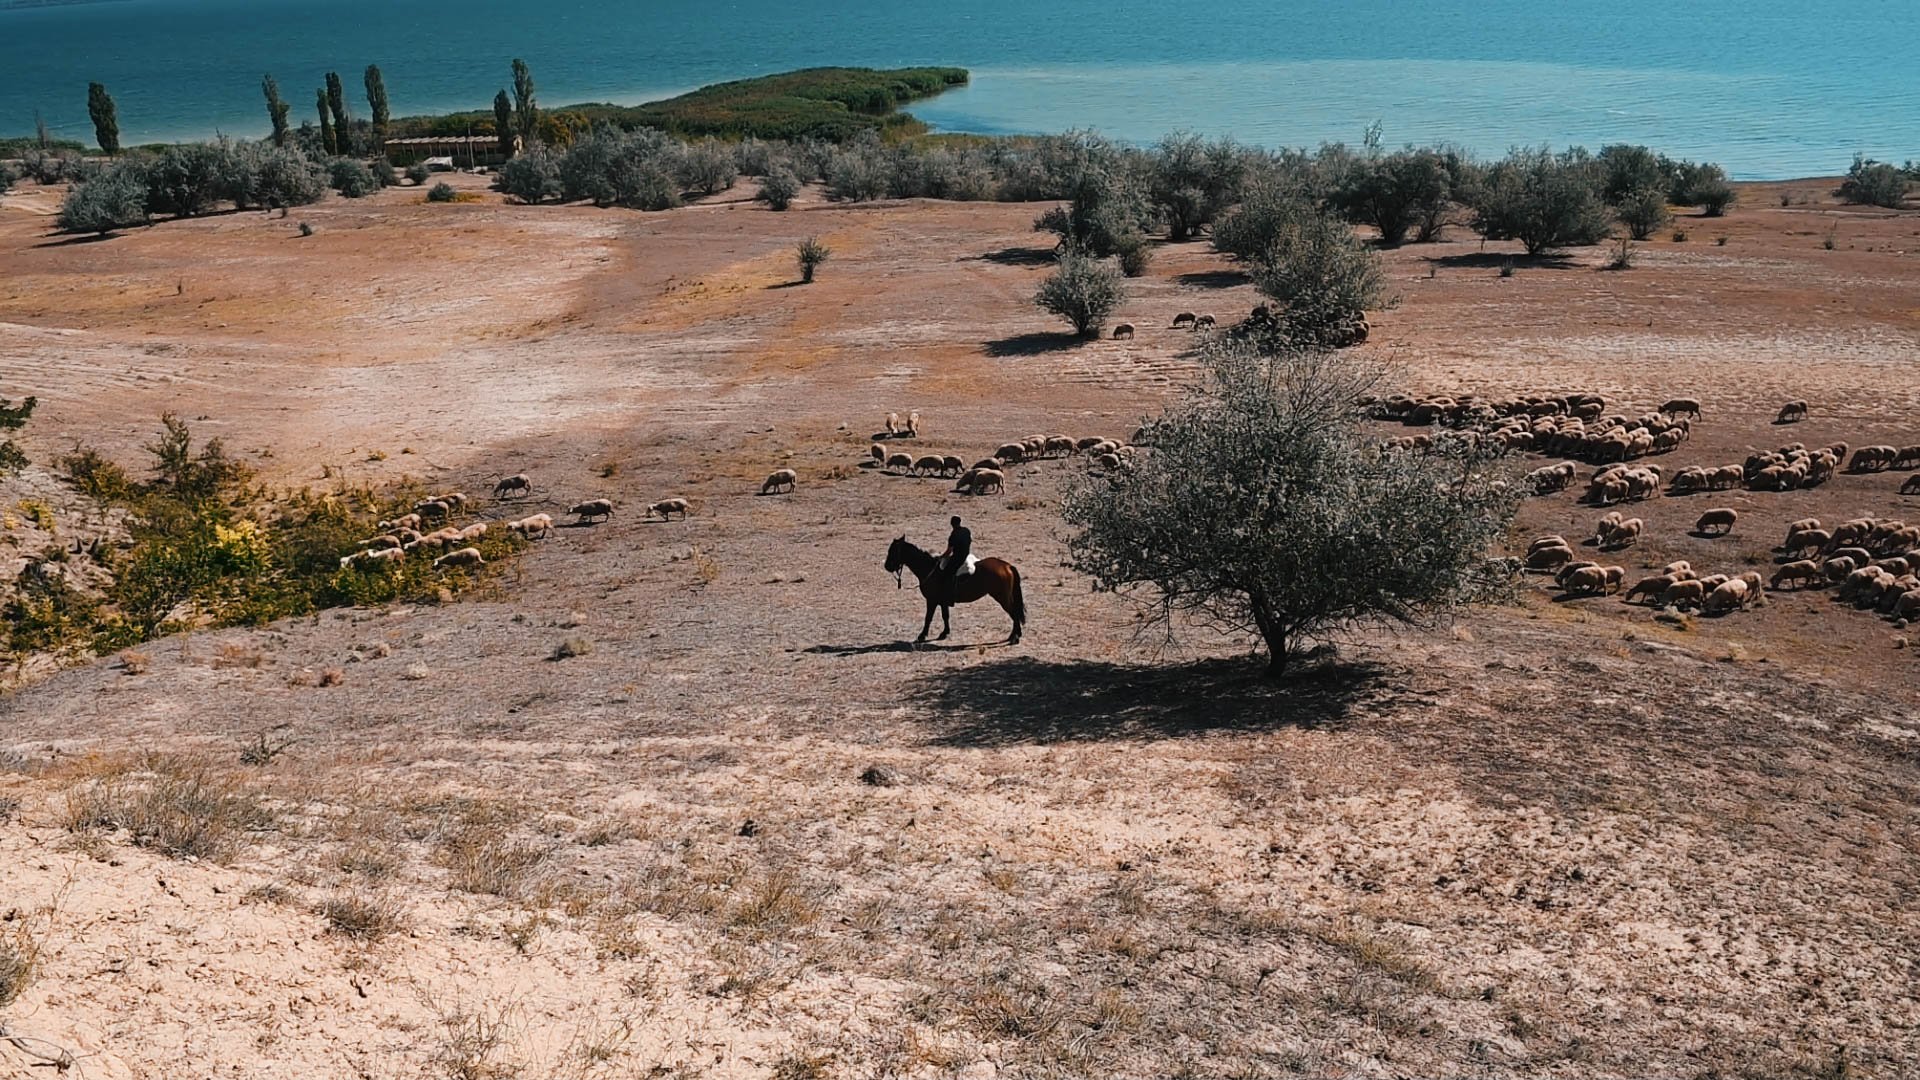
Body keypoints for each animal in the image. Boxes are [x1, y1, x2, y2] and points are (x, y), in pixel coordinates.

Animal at [883, 534, 1029, 641]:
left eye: (892, 551)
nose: (887, 566)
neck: (930, 569)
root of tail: (1007, 566)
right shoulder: (943, 601)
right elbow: (945, 616)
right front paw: (945, 633)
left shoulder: (931, 600)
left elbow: (928, 617)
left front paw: (922, 635)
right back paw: (1015, 635)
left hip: (1002, 598)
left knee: (1014, 613)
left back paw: (1015, 637)